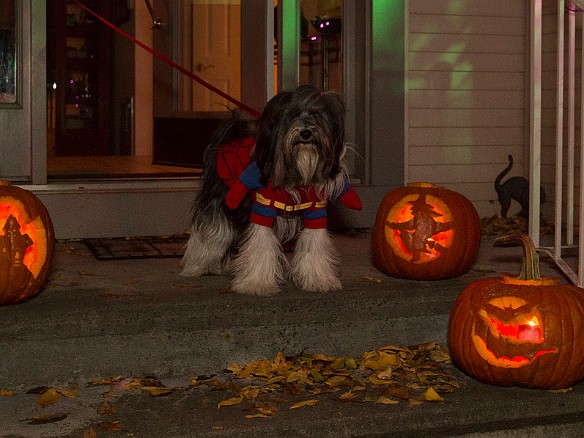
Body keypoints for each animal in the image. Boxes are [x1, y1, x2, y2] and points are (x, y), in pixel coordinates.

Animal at [180, 85, 360, 294]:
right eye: (290, 115)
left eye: (316, 114)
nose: (306, 133)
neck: (298, 171)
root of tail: (232, 131)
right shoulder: (262, 207)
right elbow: (260, 245)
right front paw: (257, 283)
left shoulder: (315, 211)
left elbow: (313, 245)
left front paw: (318, 280)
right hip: (219, 200)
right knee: (211, 231)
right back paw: (197, 267)